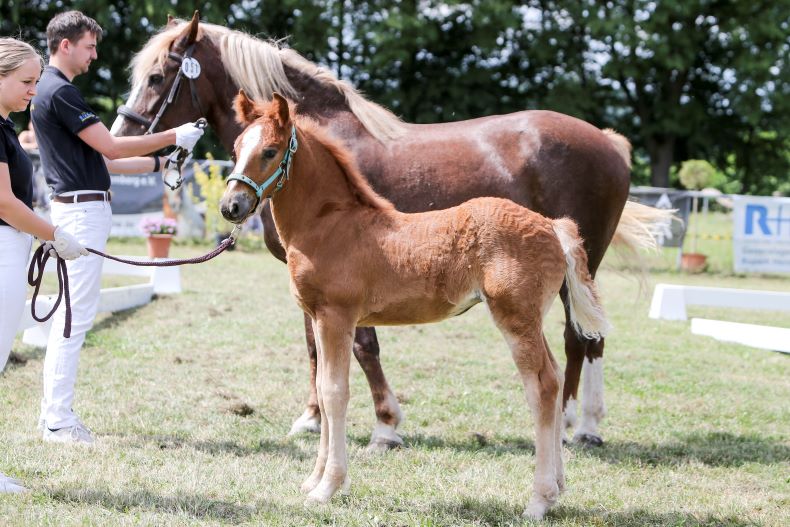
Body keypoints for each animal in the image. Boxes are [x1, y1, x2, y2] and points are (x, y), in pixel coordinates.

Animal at [220, 92, 616, 520]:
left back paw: (539, 500)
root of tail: (553, 226)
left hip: (515, 317)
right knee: (556, 379)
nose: (231, 206)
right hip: (530, 318)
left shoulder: (336, 317)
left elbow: (335, 393)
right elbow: (324, 395)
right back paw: (558, 487)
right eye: (236, 149)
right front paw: (313, 480)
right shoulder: (322, 319)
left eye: (270, 151)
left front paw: (327, 487)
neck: (331, 226)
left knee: (542, 386)